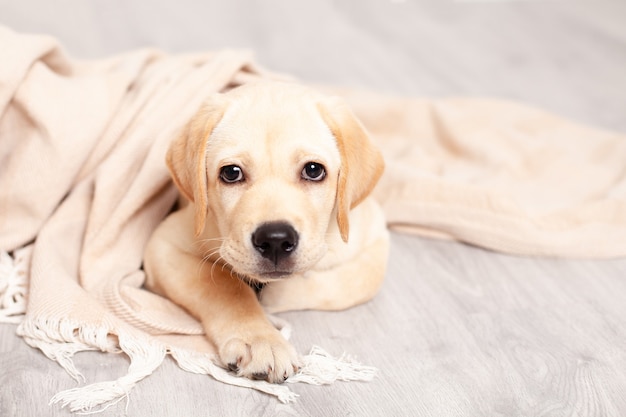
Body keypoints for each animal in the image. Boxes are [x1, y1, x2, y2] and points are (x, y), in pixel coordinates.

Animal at [144, 81, 388, 384]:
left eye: (313, 170)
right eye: (232, 173)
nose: (275, 241)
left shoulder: (375, 233)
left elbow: (360, 280)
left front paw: (276, 296)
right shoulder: (164, 244)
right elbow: (223, 286)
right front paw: (261, 341)